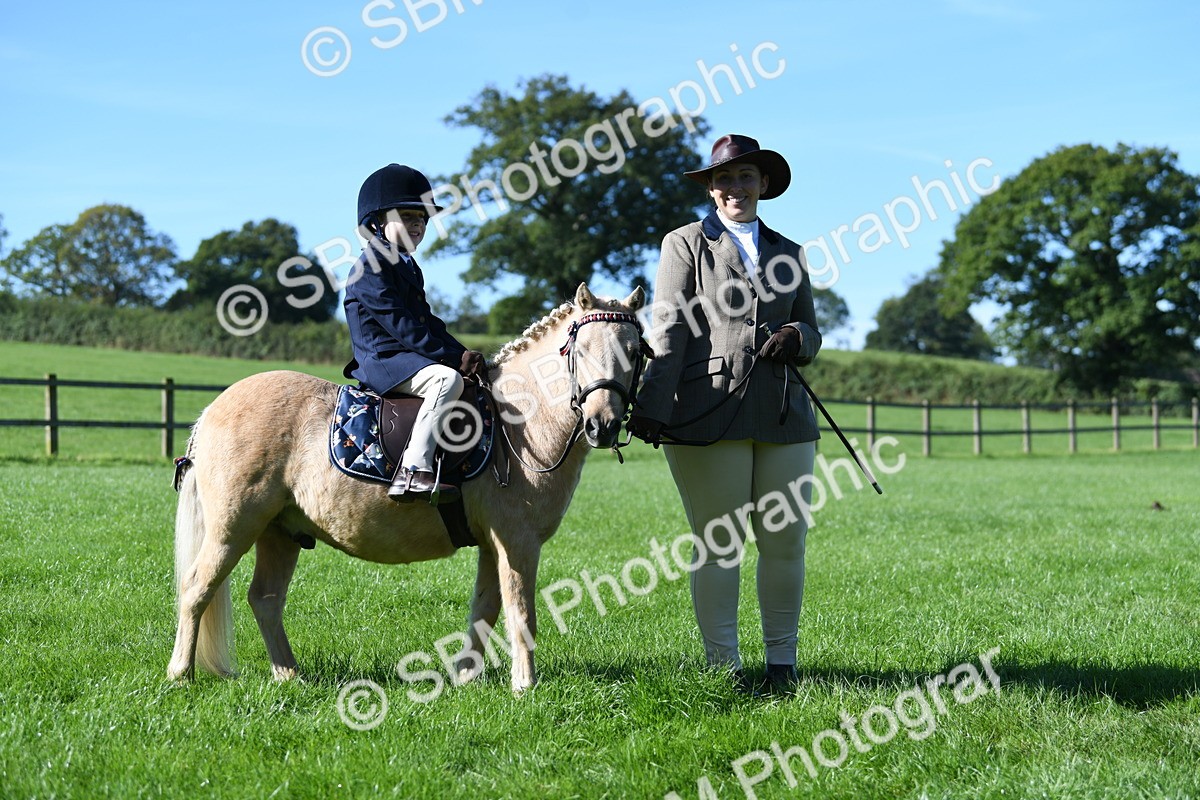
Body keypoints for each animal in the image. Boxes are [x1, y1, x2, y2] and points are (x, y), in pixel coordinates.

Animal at [167, 283, 649, 694]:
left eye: (634, 351)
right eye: (581, 350)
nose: (602, 425)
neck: (519, 422)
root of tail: (212, 409)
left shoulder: (492, 545)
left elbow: (484, 610)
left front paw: (466, 678)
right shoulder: (518, 543)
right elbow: (521, 612)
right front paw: (524, 685)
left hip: (280, 532)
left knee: (265, 601)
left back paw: (290, 676)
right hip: (233, 528)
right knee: (196, 589)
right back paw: (180, 674)